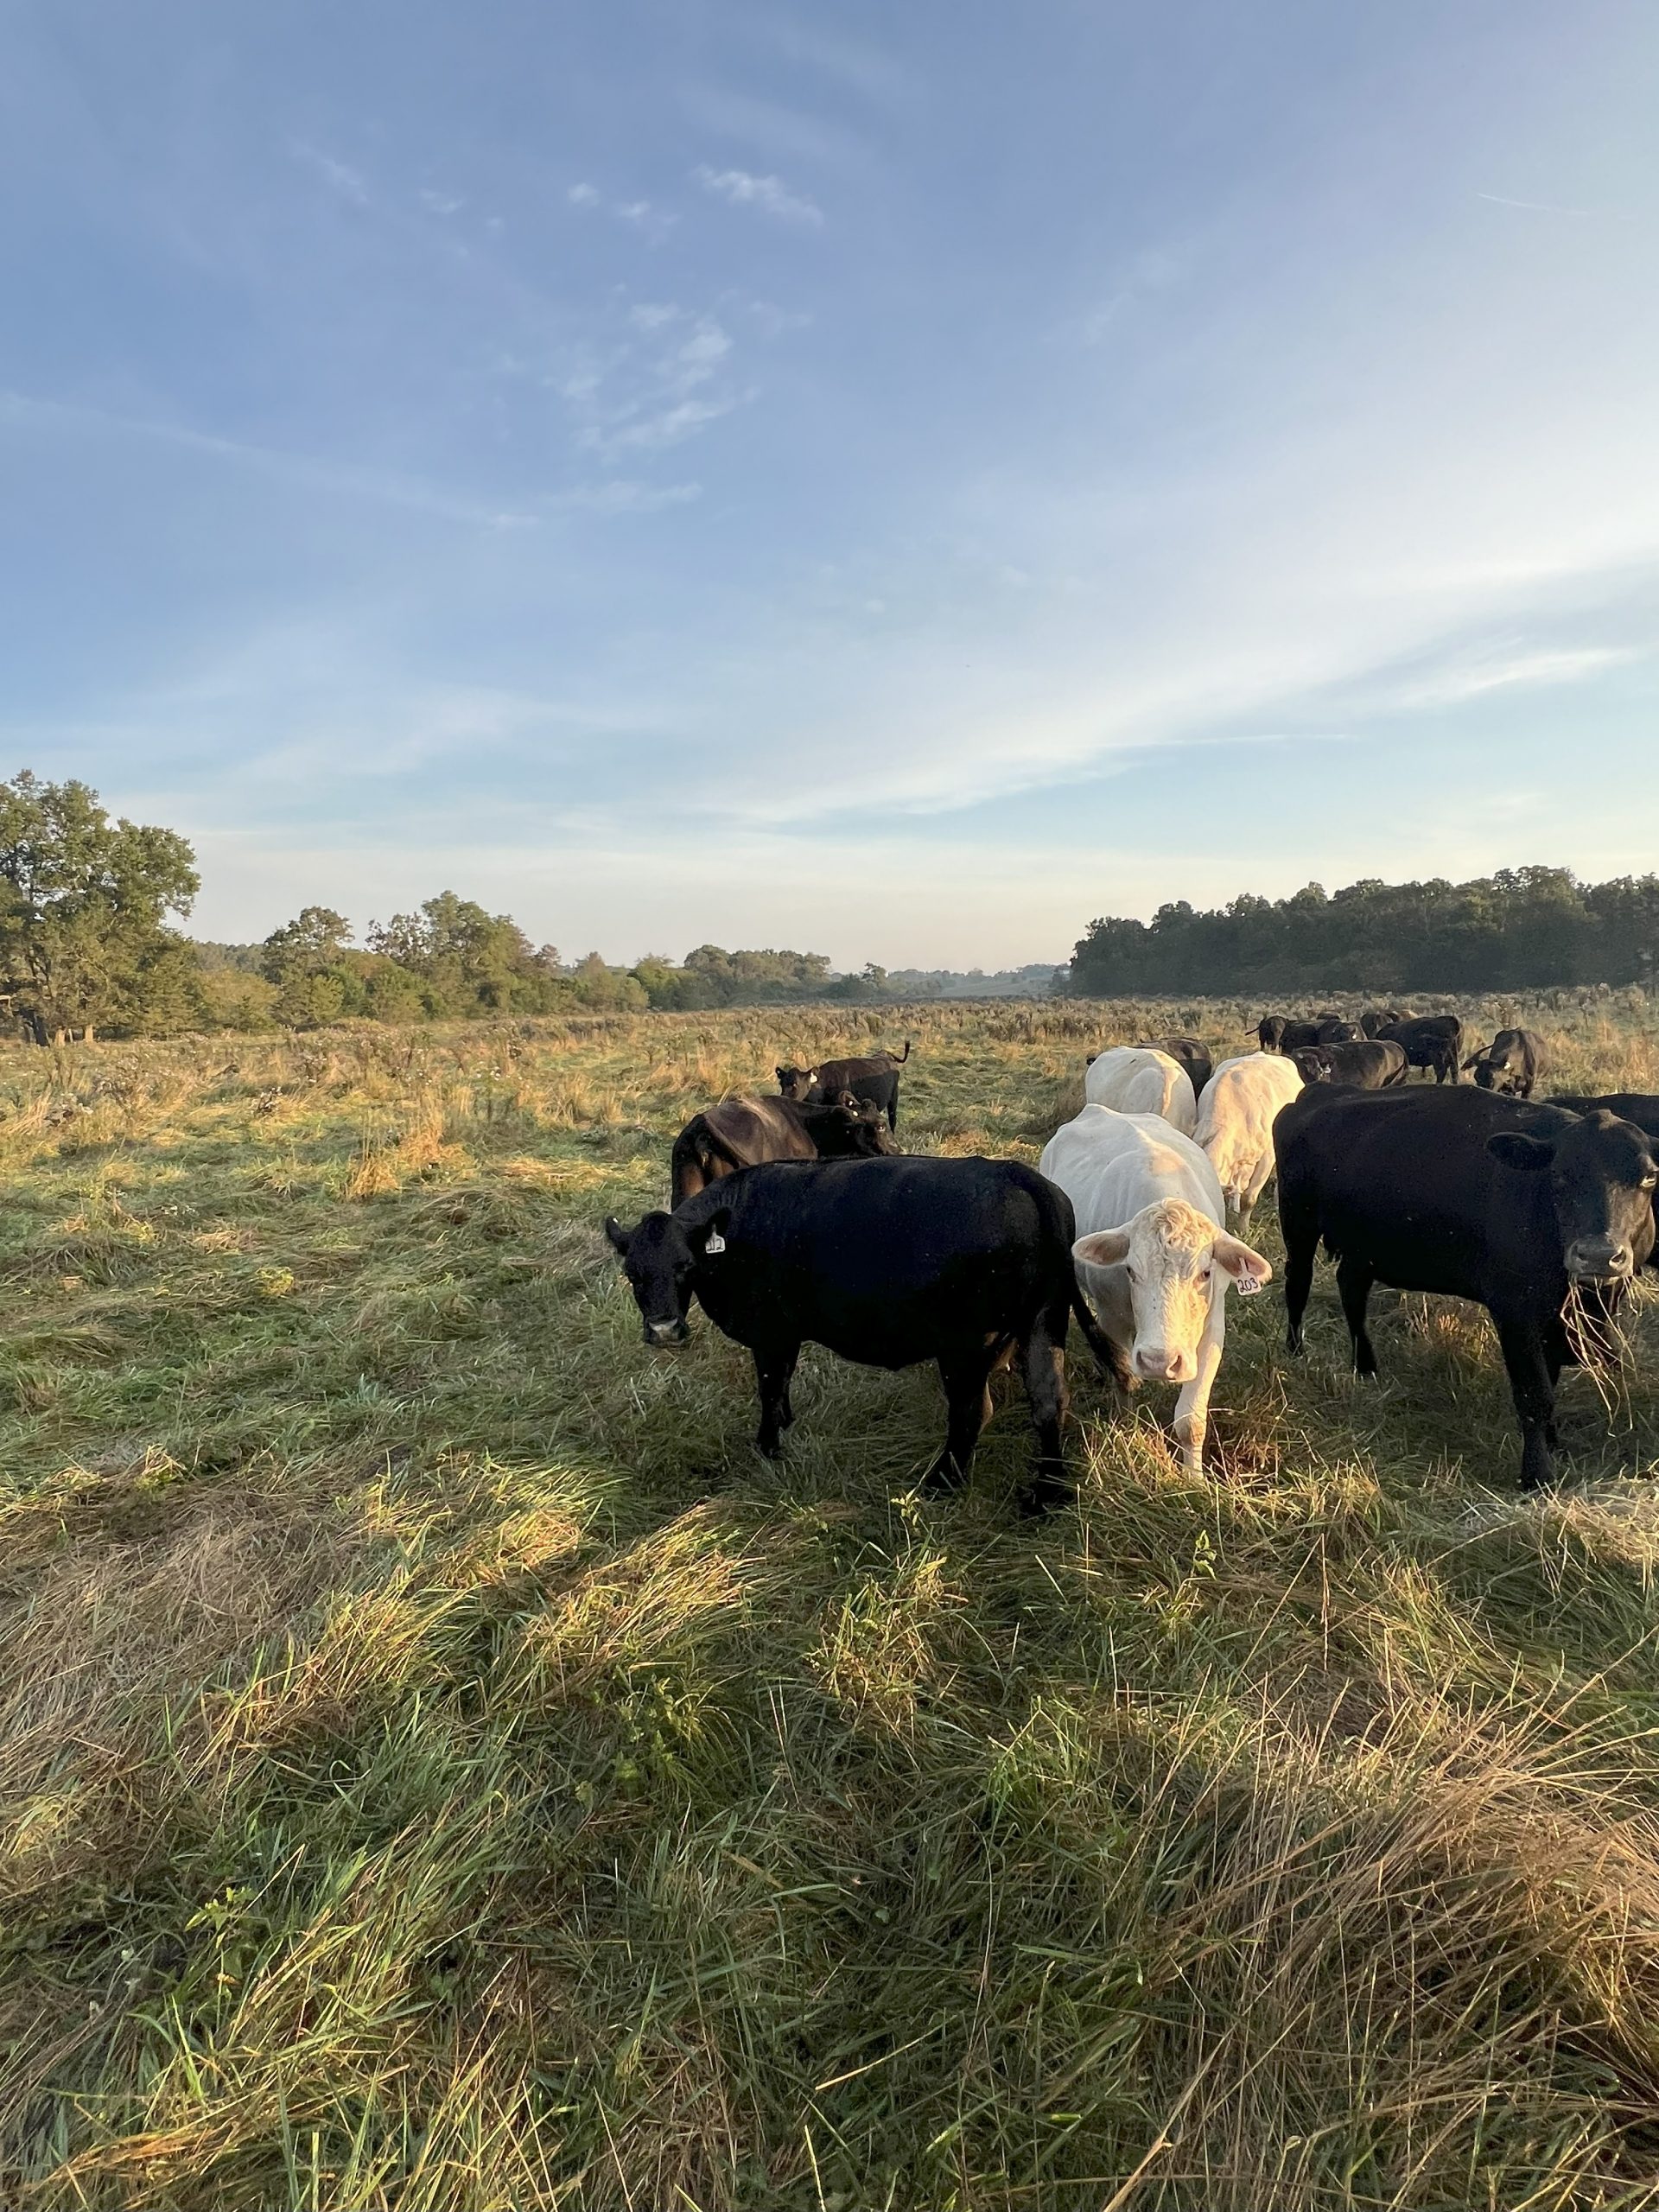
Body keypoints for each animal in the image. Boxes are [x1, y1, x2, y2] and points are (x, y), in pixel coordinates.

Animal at [603, 1155, 1117, 1513]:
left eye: (684, 1266)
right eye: (632, 1273)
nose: (664, 1329)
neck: (739, 1226)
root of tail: (1021, 1176)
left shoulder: (770, 1333)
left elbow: (769, 1387)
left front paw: (768, 1446)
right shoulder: (787, 1334)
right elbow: (783, 1383)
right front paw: (787, 1424)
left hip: (967, 1346)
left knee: (973, 1412)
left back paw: (942, 1482)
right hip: (1041, 1321)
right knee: (1049, 1401)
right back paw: (1047, 1494)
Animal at [777, 1041, 911, 1131]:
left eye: (795, 1084)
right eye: (781, 1083)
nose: (782, 1099)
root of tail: (885, 1053)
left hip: (894, 1097)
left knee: (893, 1120)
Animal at [1041, 1106, 1271, 1472]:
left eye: (1206, 1273)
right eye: (1131, 1270)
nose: (1158, 1361)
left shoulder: (1212, 1327)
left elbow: (1191, 1421)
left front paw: (1193, 1477)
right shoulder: (1112, 1318)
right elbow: (1124, 1376)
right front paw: (1124, 1427)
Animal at [1275, 1085, 1659, 1488]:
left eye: (1650, 1178)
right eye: (1558, 1176)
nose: (1599, 1254)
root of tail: (1322, 1091)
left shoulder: (1563, 1317)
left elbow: (1551, 1381)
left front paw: (1554, 1442)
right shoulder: (1515, 1312)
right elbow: (1534, 1394)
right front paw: (1536, 1474)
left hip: (1363, 1248)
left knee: (1352, 1291)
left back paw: (1365, 1366)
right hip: (1298, 1222)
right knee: (1297, 1285)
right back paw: (1296, 1350)